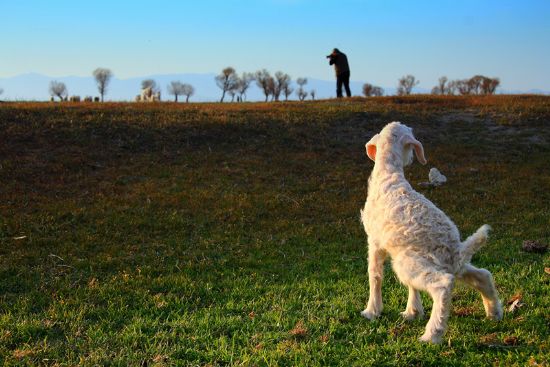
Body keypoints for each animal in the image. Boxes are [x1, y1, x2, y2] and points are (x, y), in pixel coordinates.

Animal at [362, 122, 504, 344]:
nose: (412, 159)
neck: (389, 175)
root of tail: (456, 250)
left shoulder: (375, 241)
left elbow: (375, 275)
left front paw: (371, 311)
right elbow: (412, 286)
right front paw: (412, 312)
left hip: (410, 262)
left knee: (443, 285)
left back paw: (432, 334)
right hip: (433, 263)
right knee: (483, 275)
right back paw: (494, 312)